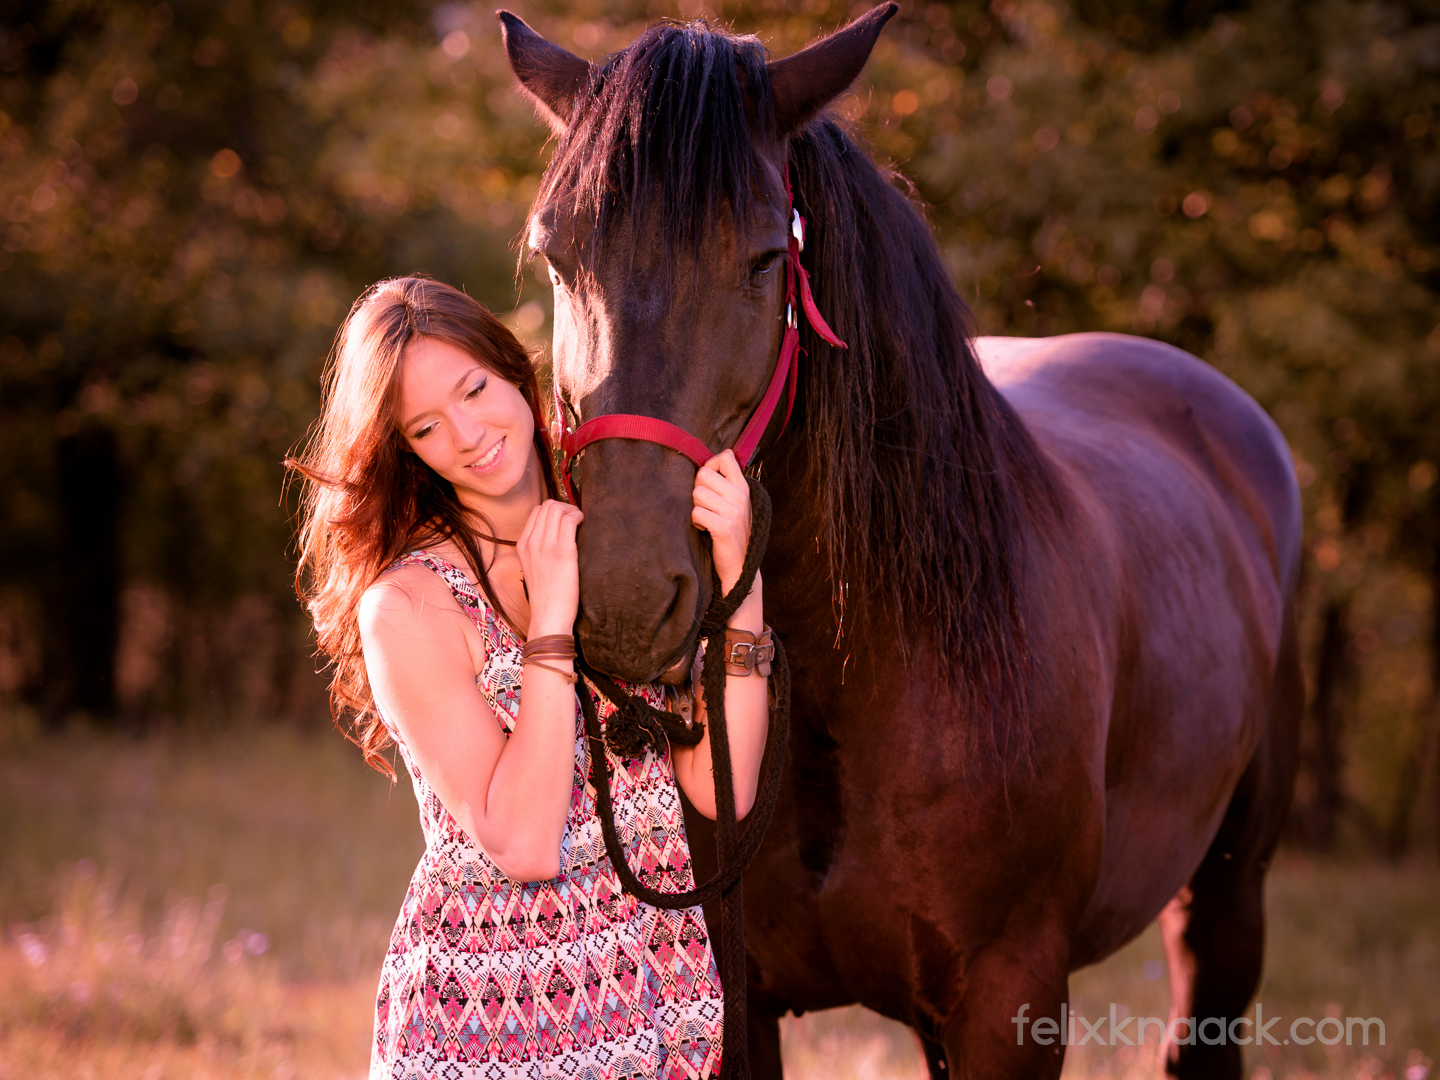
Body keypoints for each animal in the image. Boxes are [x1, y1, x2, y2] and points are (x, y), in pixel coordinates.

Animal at [501, 6, 1301, 1077]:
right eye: (557, 256)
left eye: (765, 258)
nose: (624, 601)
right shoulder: (741, 1002)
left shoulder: (1009, 1004)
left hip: (1228, 901)